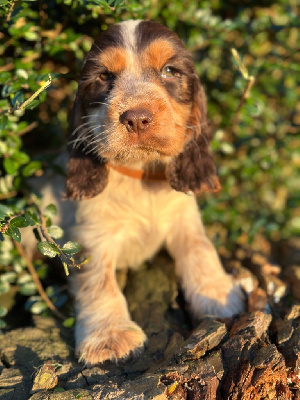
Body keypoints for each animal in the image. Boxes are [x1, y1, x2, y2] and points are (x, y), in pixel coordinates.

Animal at [65, 19, 244, 366]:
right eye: (103, 76)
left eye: (170, 71)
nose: (136, 118)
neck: (140, 171)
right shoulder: (92, 235)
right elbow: (98, 282)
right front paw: (111, 337)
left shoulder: (184, 216)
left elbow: (200, 249)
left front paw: (218, 296)